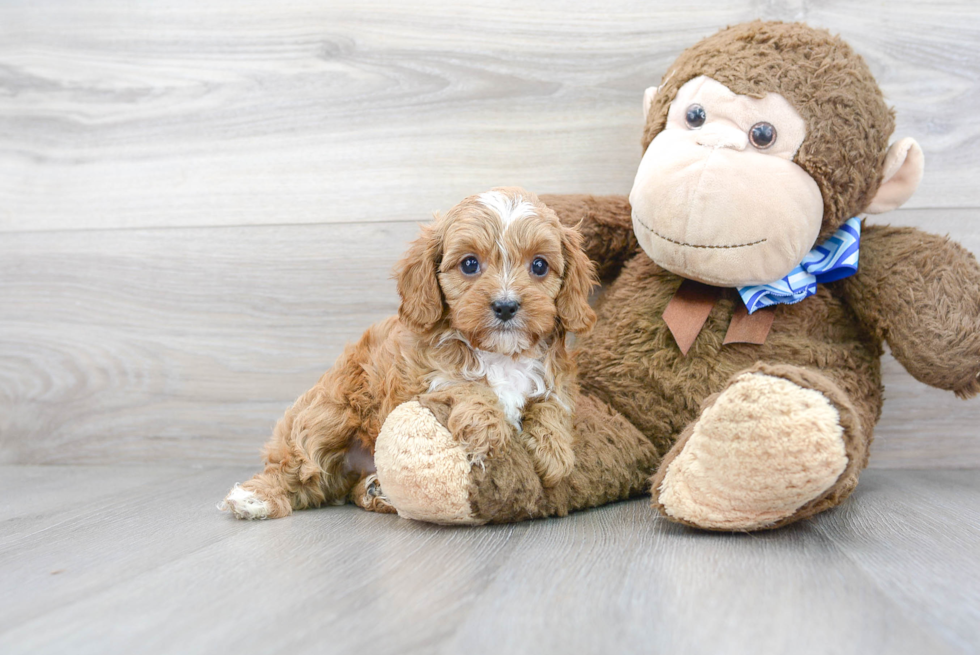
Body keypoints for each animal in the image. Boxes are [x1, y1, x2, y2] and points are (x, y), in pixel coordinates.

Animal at [220, 187, 596, 520]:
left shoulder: (555, 377)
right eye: (470, 264)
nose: (506, 306)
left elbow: (552, 403)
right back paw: (255, 498)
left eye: (539, 266)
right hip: (330, 412)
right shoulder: (420, 380)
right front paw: (490, 434)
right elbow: (466, 387)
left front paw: (554, 452)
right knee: (298, 464)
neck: (499, 354)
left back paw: (376, 490)